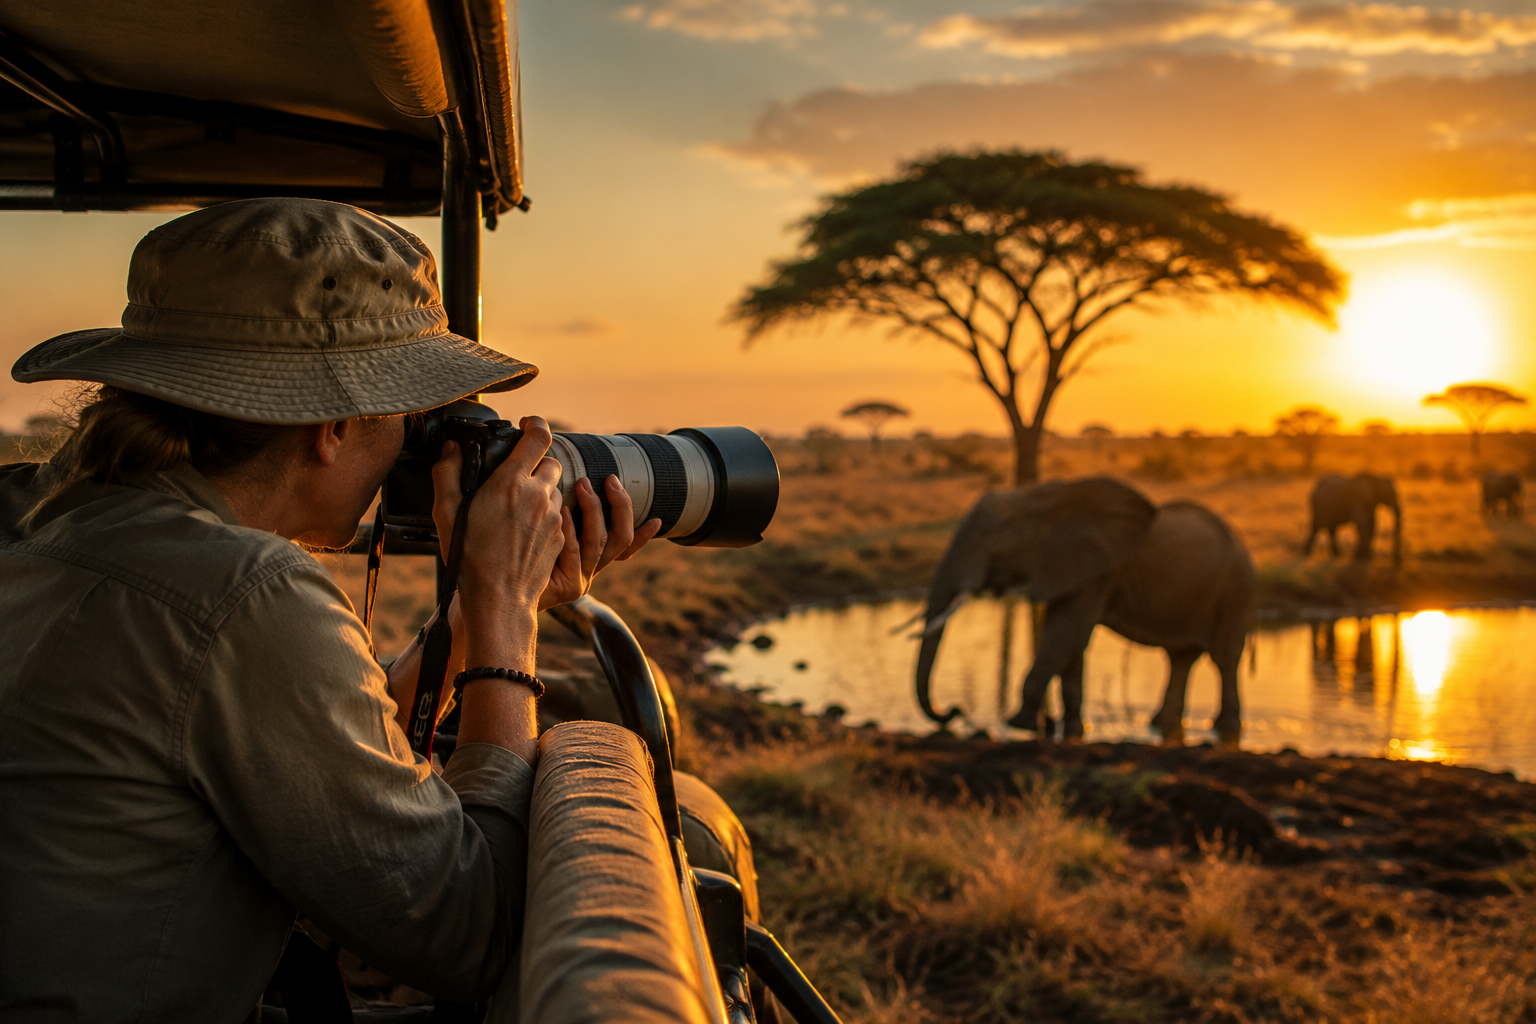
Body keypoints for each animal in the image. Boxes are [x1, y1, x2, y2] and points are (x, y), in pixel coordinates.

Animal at [912, 477, 1256, 744]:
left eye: (991, 538)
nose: (956, 710)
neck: (1042, 498)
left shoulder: (1098, 570)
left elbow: (1064, 634)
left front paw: (1020, 724)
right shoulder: (1067, 568)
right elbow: (1071, 642)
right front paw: (1072, 731)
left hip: (1236, 589)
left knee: (1223, 658)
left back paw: (1224, 729)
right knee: (1180, 657)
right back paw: (1161, 725)